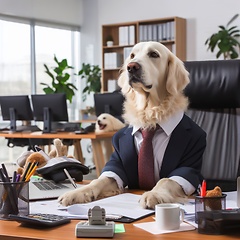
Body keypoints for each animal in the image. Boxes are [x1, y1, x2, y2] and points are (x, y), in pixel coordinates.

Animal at [58, 40, 206, 208]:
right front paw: (77, 193)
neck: (150, 116)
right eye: (132, 55)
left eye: (154, 54)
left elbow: (166, 180)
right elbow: (100, 180)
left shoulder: (188, 166)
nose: (131, 67)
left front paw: (153, 194)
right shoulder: (117, 164)